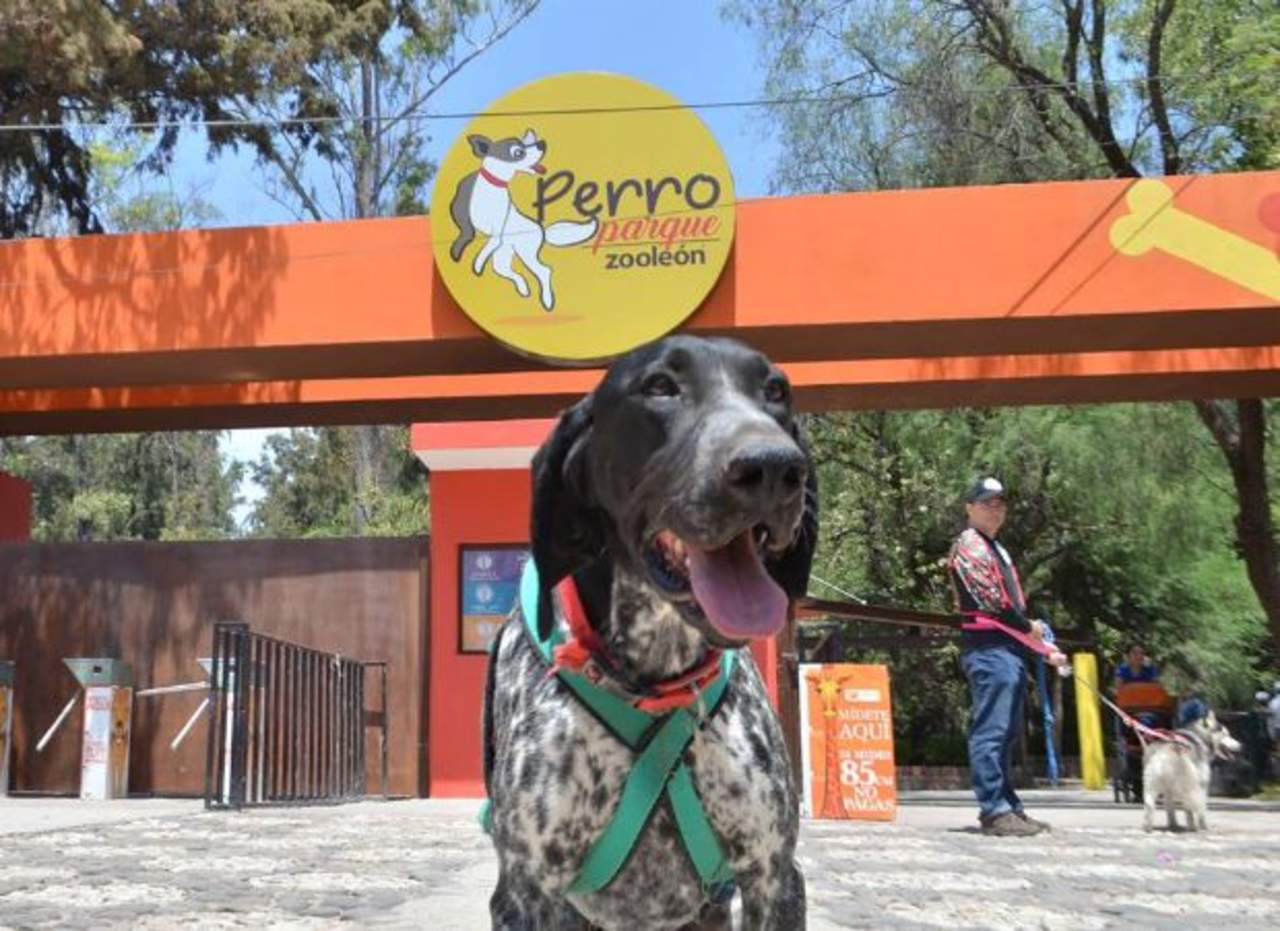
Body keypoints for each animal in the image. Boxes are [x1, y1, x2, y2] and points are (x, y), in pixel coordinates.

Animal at [481, 338, 819, 931]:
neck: (654, 684)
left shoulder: (774, 877)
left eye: (776, 391)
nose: (775, 466)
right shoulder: (527, 893)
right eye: (660, 386)